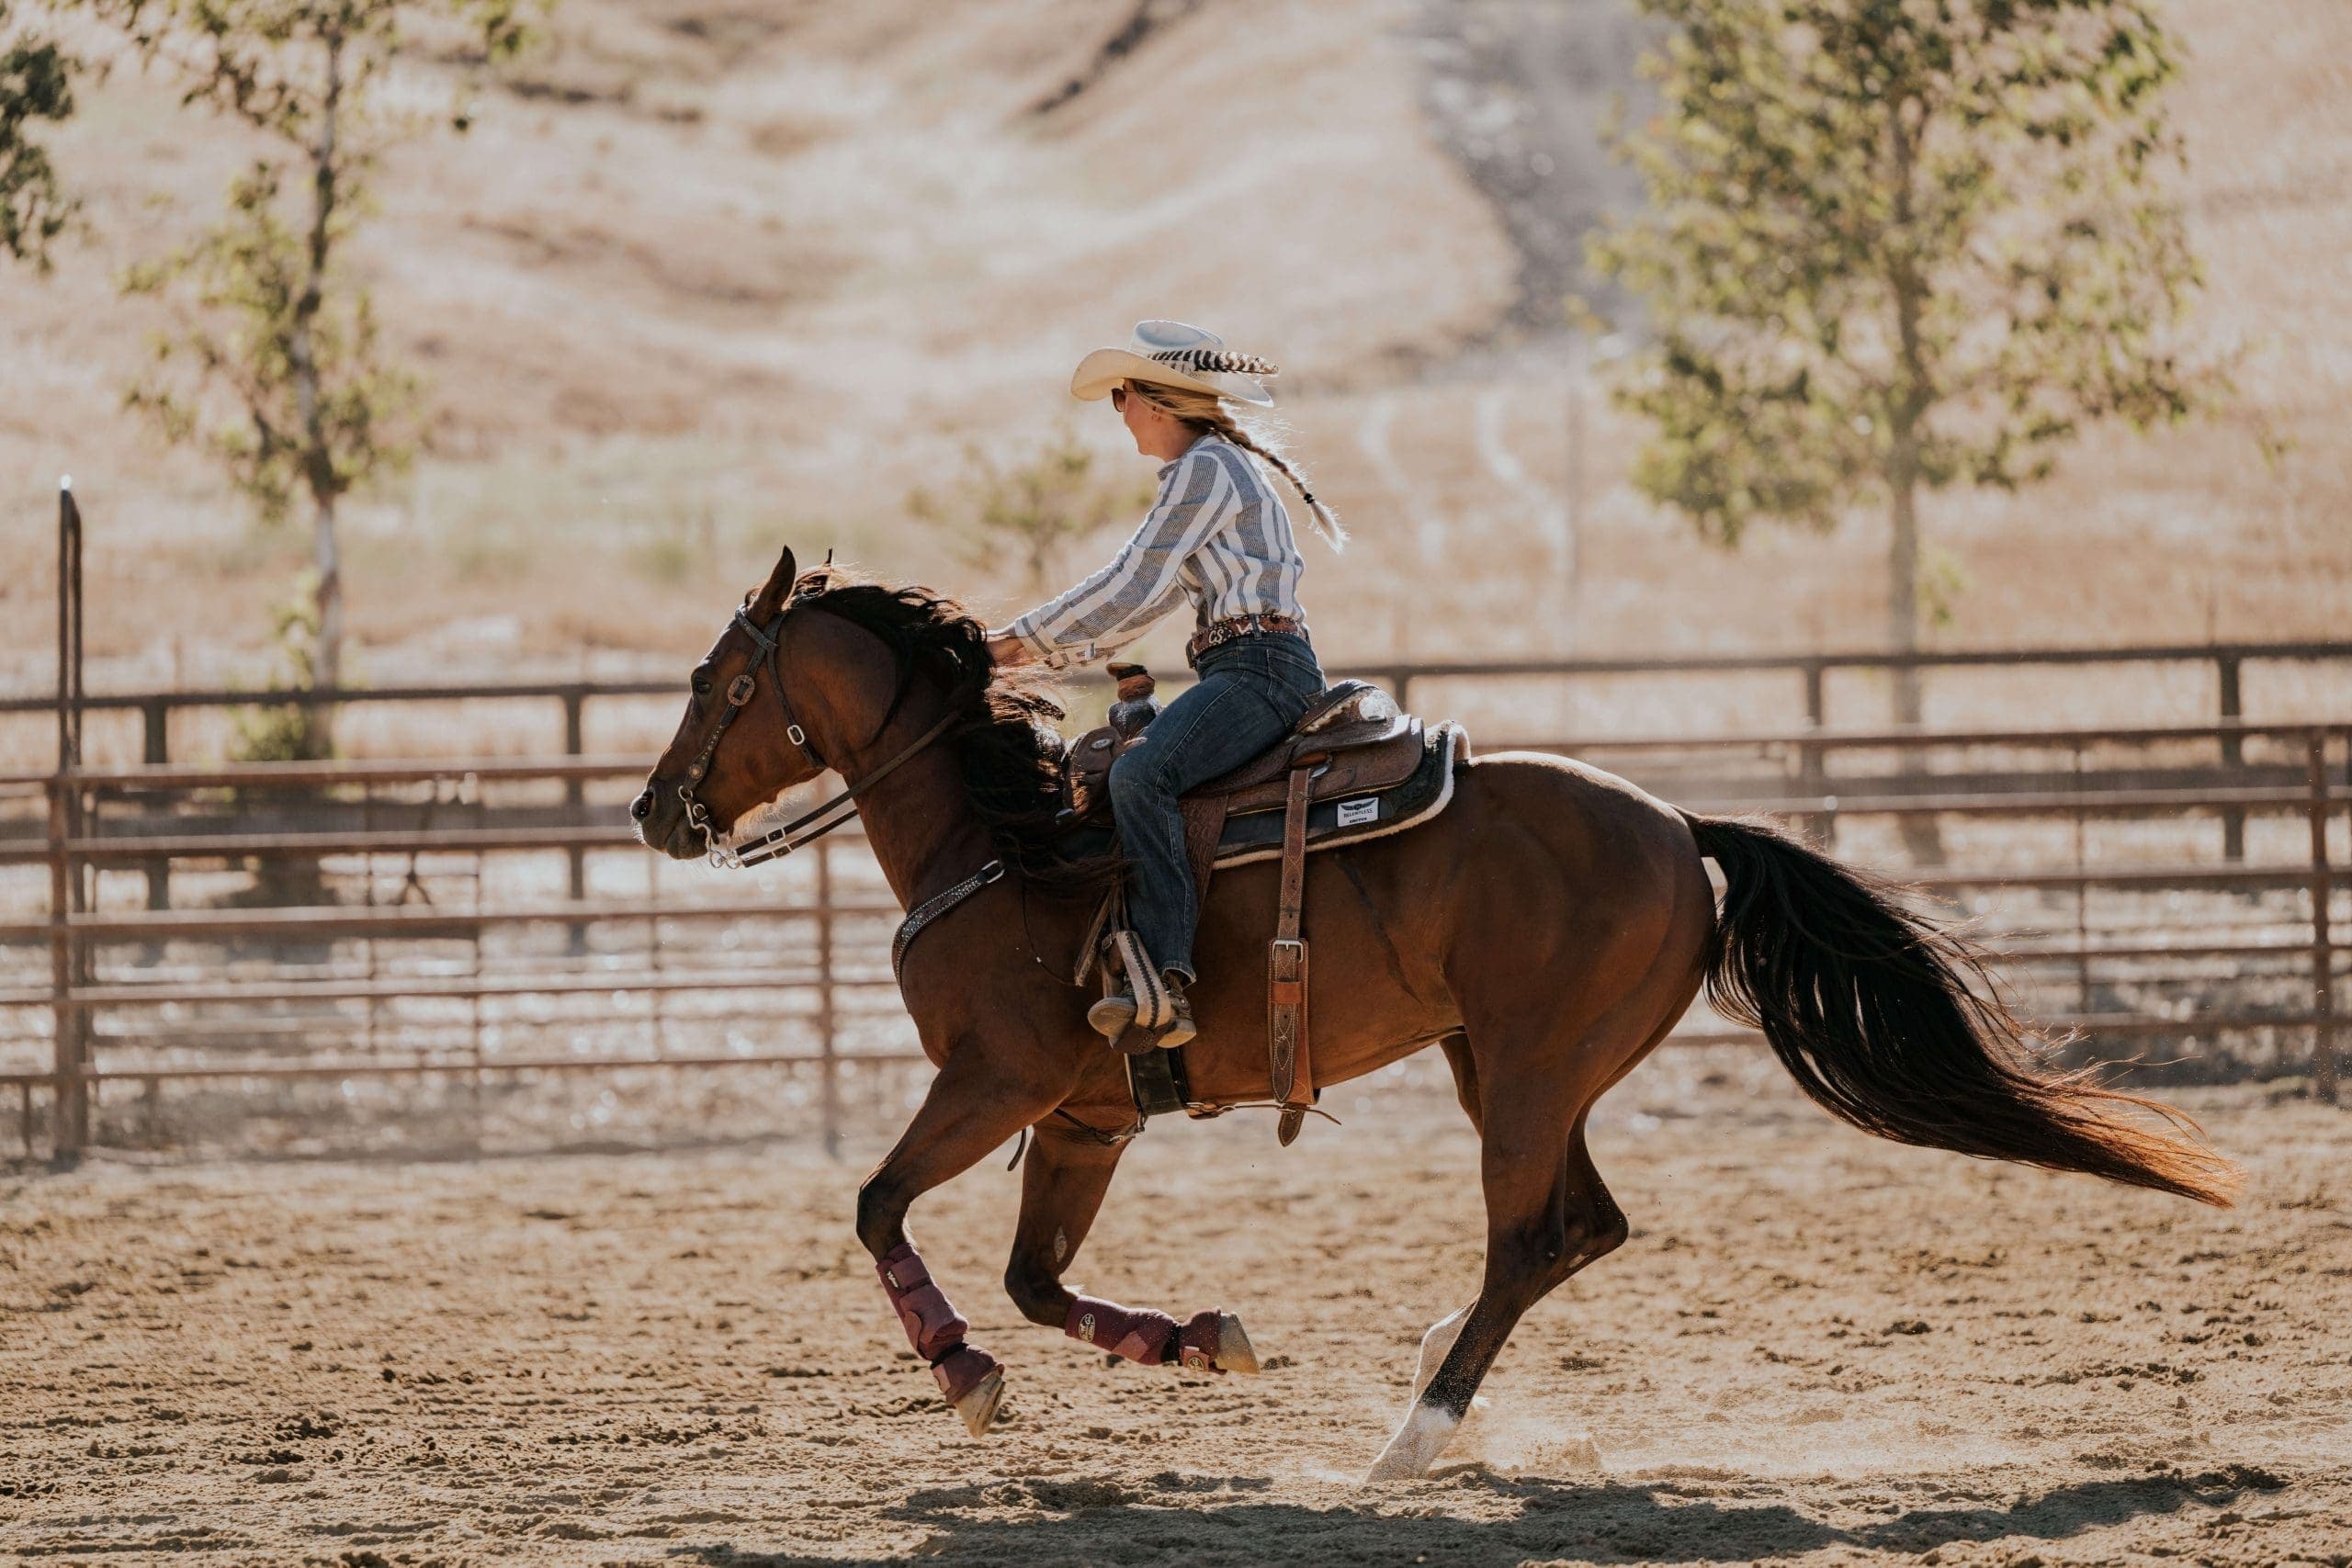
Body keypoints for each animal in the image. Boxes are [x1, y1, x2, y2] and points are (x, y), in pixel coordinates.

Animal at [630, 552, 2239, 1485]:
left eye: (716, 678)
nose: (653, 810)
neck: (1005, 839)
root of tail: (1682, 828)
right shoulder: (1084, 1121)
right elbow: (1037, 1278)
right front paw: (1204, 1337)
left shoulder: (995, 1080)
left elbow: (877, 1203)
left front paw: (963, 1376)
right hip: (1509, 1066)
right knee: (1583, 1226)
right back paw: (1422, 1372)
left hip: (1527, 1071)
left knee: (1530, 1234)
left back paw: (1412, 1434)